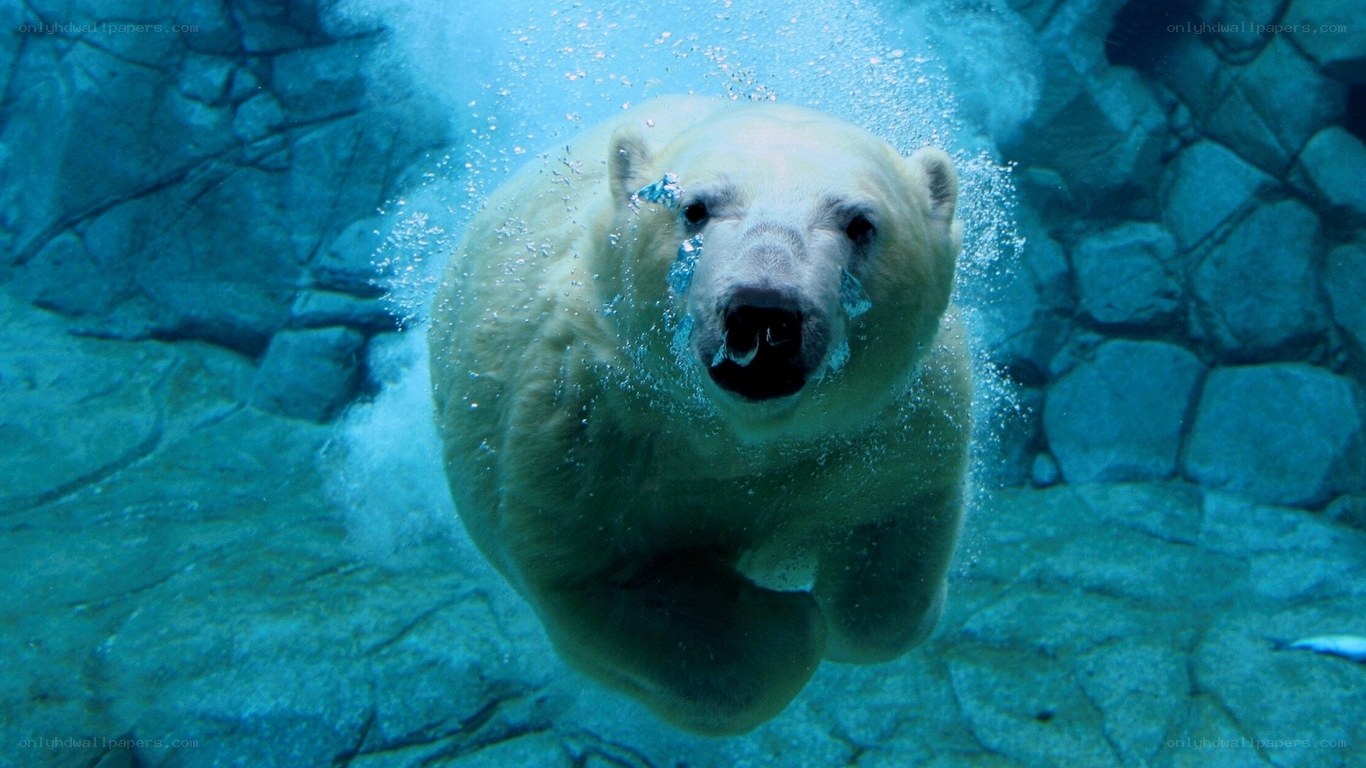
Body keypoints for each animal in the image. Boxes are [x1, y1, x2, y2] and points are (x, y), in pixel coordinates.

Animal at [429, 95, 969, 735]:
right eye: (694, 208)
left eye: (860, 222)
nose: (764, 312)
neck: (739, 435)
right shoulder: (582, 429)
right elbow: (600, 581)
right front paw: (787, 622)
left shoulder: (891, 423)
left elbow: (893, 543)